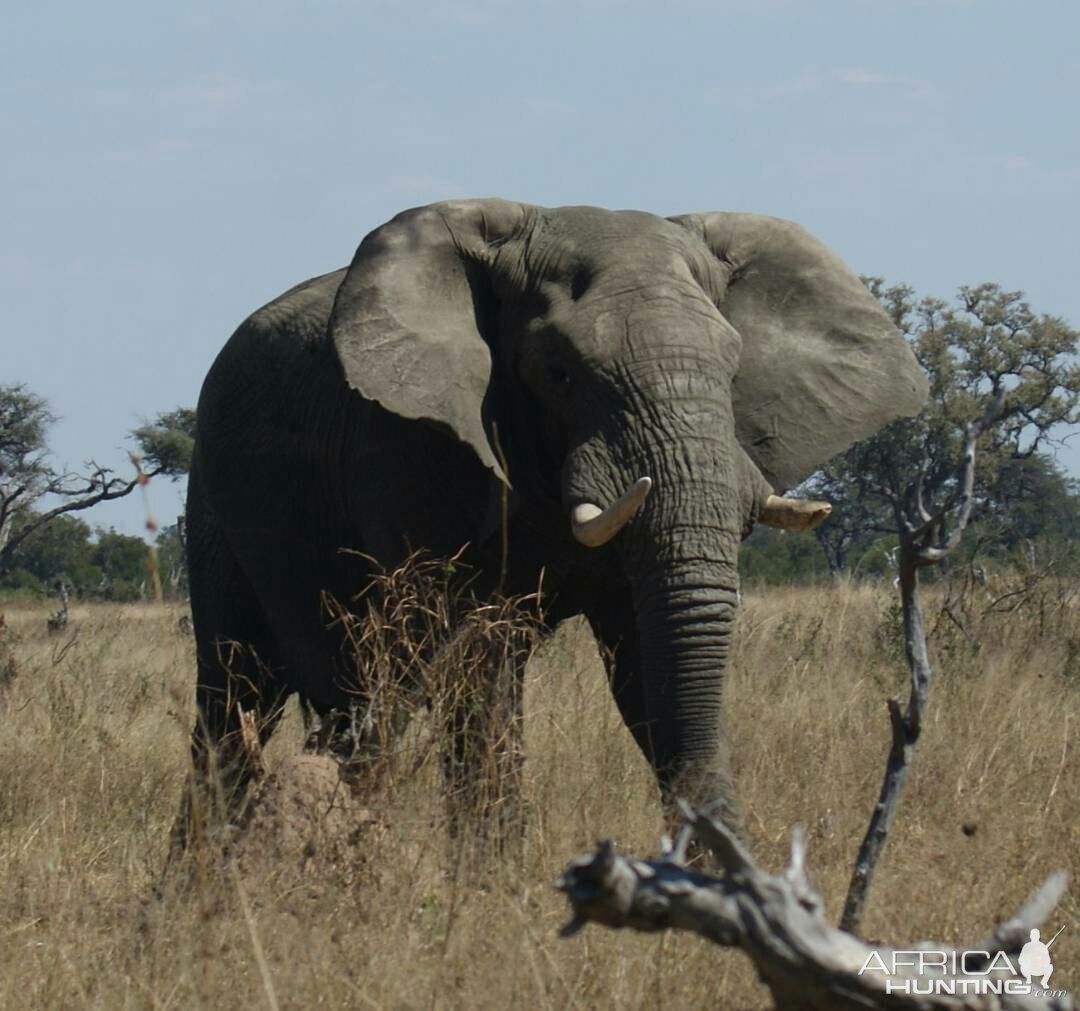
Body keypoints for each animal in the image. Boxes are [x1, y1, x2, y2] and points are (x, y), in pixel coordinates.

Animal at [172, 199, 924, 851]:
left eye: (733, 368)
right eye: (559, 373)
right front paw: (490, 890)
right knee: (238, 693)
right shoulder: (404, 447)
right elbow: (476, 667)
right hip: (211, 503)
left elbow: (643, 664)